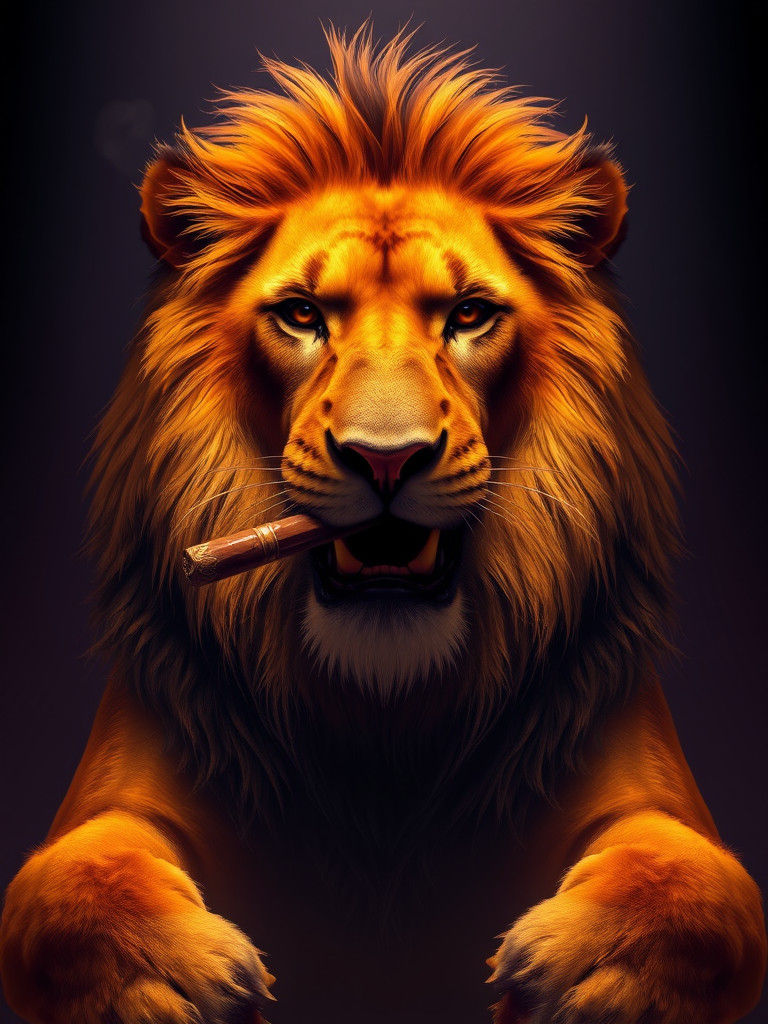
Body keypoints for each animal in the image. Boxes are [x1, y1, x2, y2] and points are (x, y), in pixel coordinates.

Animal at [1, 24, 765, 1024]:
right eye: (300, 316)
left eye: (471, 315)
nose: (388, 459)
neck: (383, 720)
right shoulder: (117, 793)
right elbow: (71, 883)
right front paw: (167, 979)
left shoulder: (650, 791)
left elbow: (693, 882)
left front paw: (593, 971)